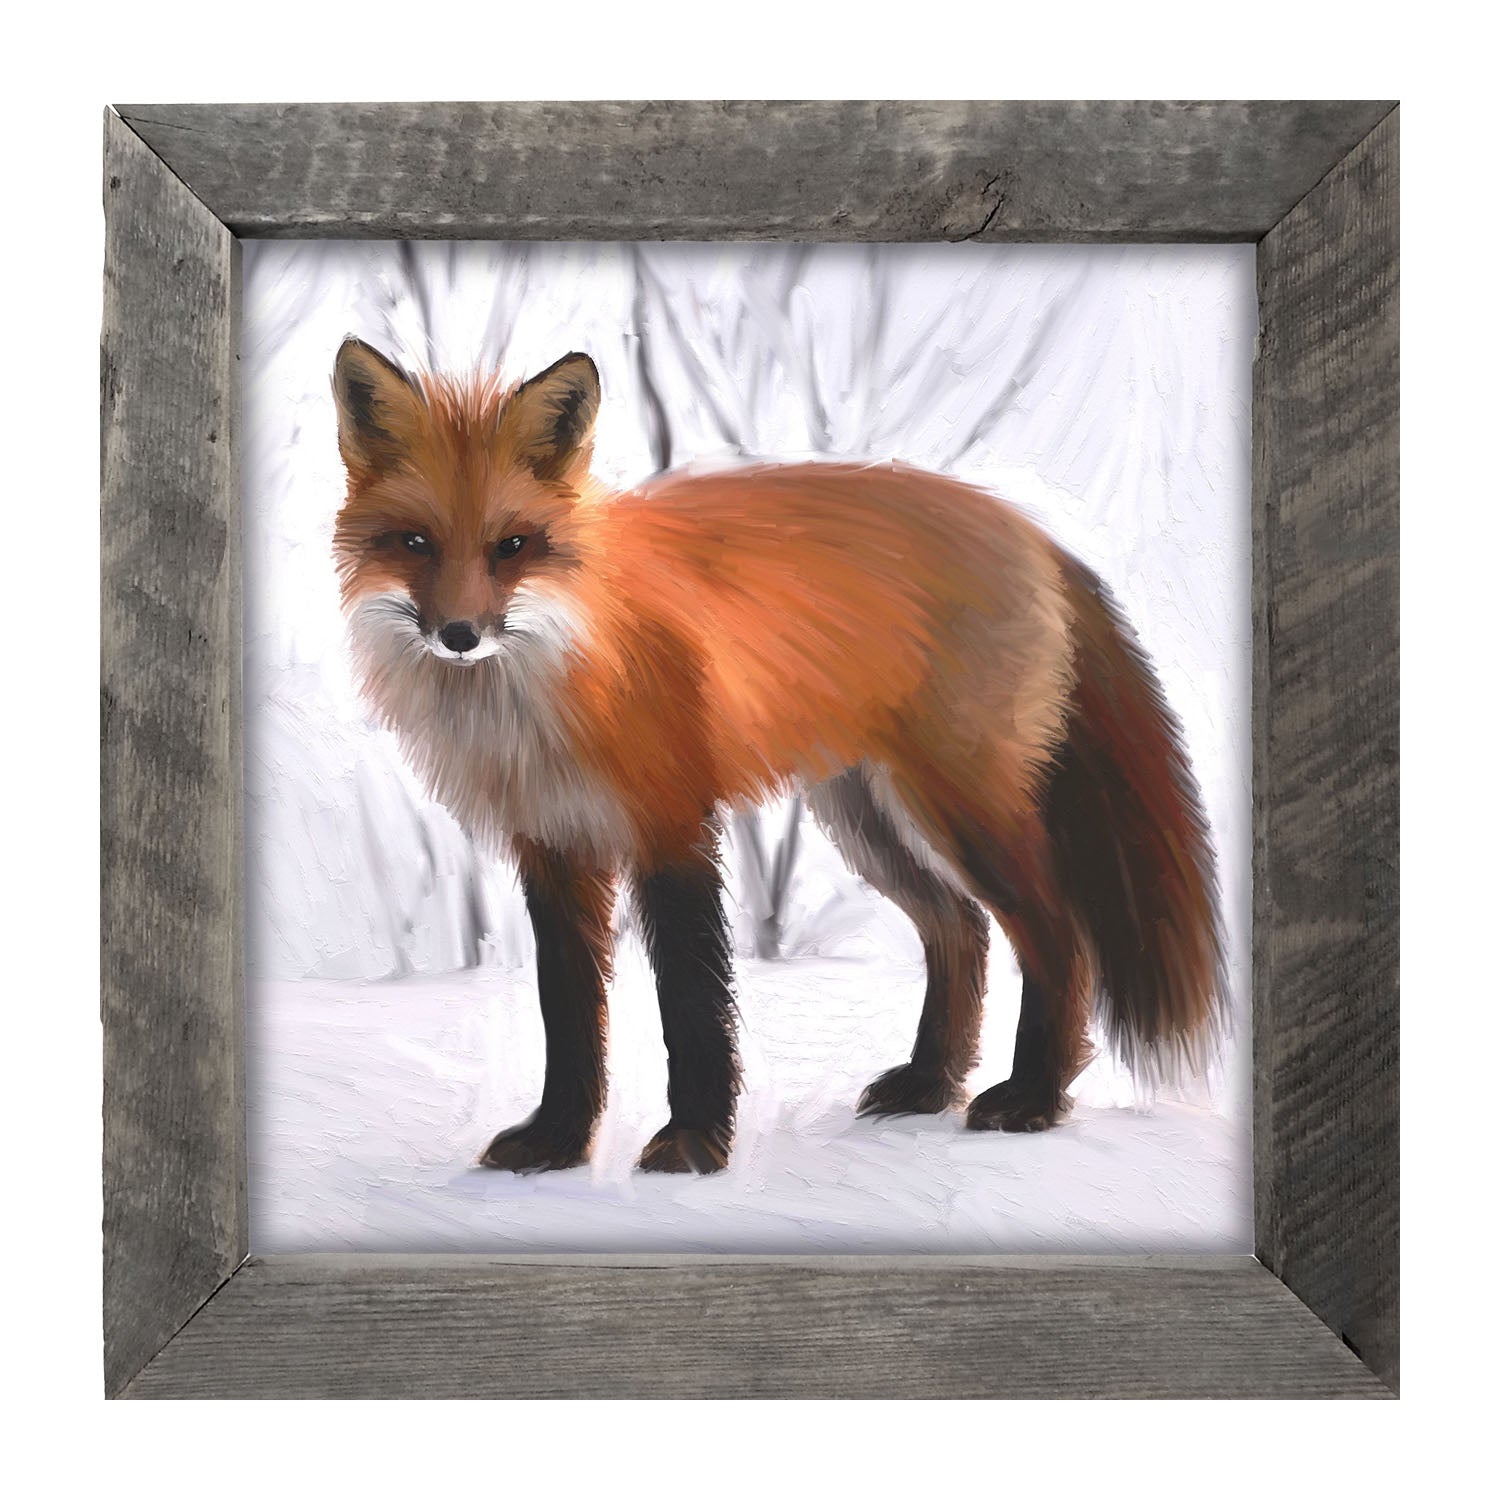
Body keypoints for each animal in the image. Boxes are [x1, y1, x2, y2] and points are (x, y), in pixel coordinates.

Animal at [331, 337, 1226, 1176]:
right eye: (415, 542)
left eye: (513, 546)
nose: (459, 635)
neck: (552, 684)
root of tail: (1028, 529)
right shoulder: (553, 848)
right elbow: (571, 1013)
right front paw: (557, 1141)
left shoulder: (673, 826)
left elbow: (691, 1003)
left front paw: (694, 1145)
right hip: (866, 819)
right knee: (959, 929)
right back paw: (930, 1084)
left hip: (964, 810)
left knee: (1056, 936)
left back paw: (1033, 1098)